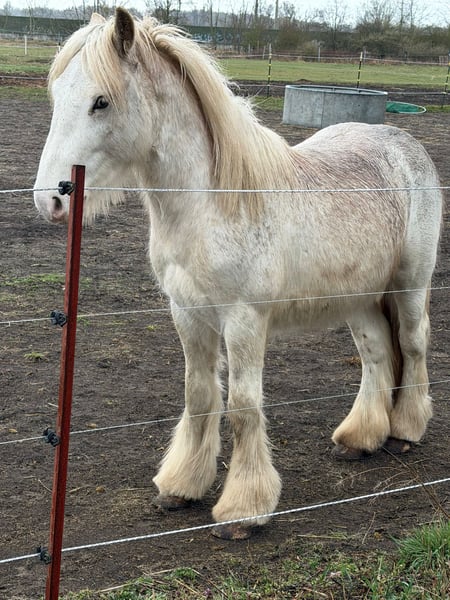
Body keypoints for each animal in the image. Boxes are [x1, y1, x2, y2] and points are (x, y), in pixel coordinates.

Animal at [34, 8, 443, 539]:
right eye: (58, 95)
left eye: (101, 101)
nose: (50, 200)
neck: (209, 206)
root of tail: (402, 142)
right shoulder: (187, 314)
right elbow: (200, 395)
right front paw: (181, 486)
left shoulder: (245, 320)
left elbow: (244, 407)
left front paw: (243, 510)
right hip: (360, 299)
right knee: (375, 354)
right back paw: (360, 438)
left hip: (410, 284)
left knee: (411, 346)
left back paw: (405, 432)